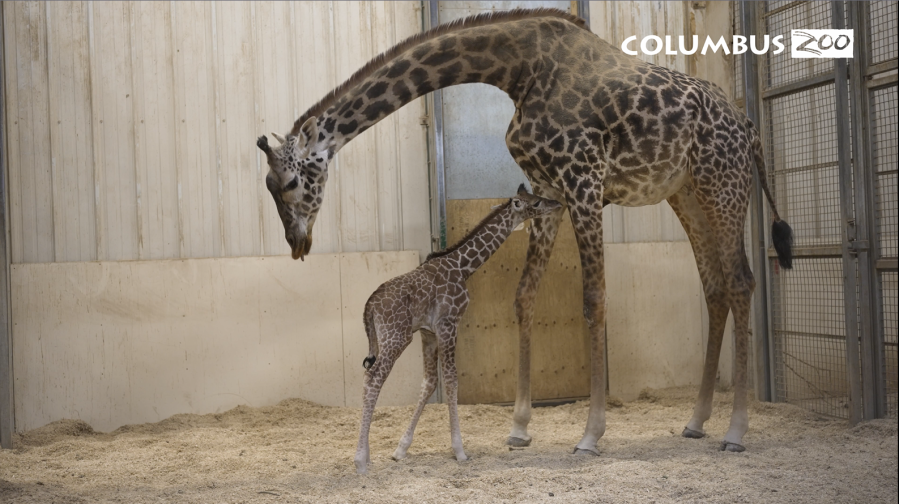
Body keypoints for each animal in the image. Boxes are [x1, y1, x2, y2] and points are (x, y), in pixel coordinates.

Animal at [353, 186, 561, 474]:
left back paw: (368, 455)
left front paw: (401, 450)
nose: (558, 204)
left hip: (388, 337)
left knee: (369, 378)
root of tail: (370, 305)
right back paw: (361, 460)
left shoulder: (428, 333)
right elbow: (452, 381)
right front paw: (460, 450)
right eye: (536, 202)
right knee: (373, 378)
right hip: (397, 337)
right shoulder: (449, 324)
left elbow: (429, 383)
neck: (463, 267)